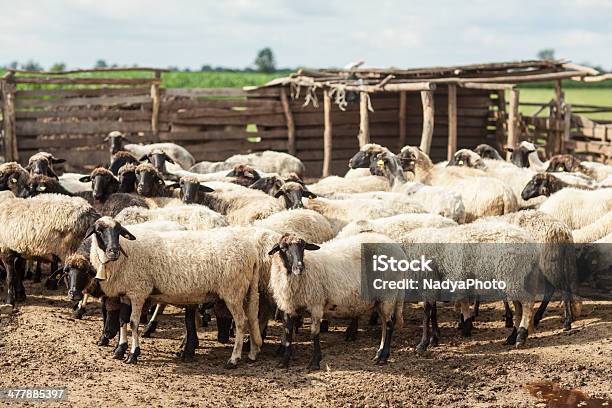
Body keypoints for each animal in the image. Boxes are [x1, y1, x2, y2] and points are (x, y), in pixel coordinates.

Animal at [88, 220, 278, 366]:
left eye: (118, 231)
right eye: (98, 231)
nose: (113, 251)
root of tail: (252, 253)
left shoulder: (138, 292)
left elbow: (133, 323)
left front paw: (133, 354)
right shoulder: (126, 294)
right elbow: (123, 320)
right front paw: (120, 349)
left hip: (233, 291)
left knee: (241, 322)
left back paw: (234, 359)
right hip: (247, 290)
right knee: (252, 318)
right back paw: (253, 352)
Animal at [268, 231, 406, 368]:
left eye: (303, 247)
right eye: (283, 248)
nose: (299, 268)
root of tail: (398, 249)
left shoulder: (316, 304)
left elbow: (314, 333)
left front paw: (315, 361)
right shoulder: (289, 306)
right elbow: (288, 333)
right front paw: (284, 361)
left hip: (388, 294)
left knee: (389, 324)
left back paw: (383, 357)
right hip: (379, 299)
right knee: (384, 324)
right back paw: (379, 354)